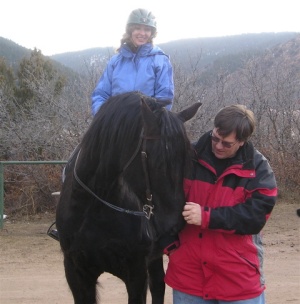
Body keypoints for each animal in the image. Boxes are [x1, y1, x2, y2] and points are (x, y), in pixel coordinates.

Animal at [56, 91, 202, 302]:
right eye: (156, 161)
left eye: (188, 159)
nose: (175, 225)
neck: (93, 208)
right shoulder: (76, 273)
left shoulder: (136, 273)